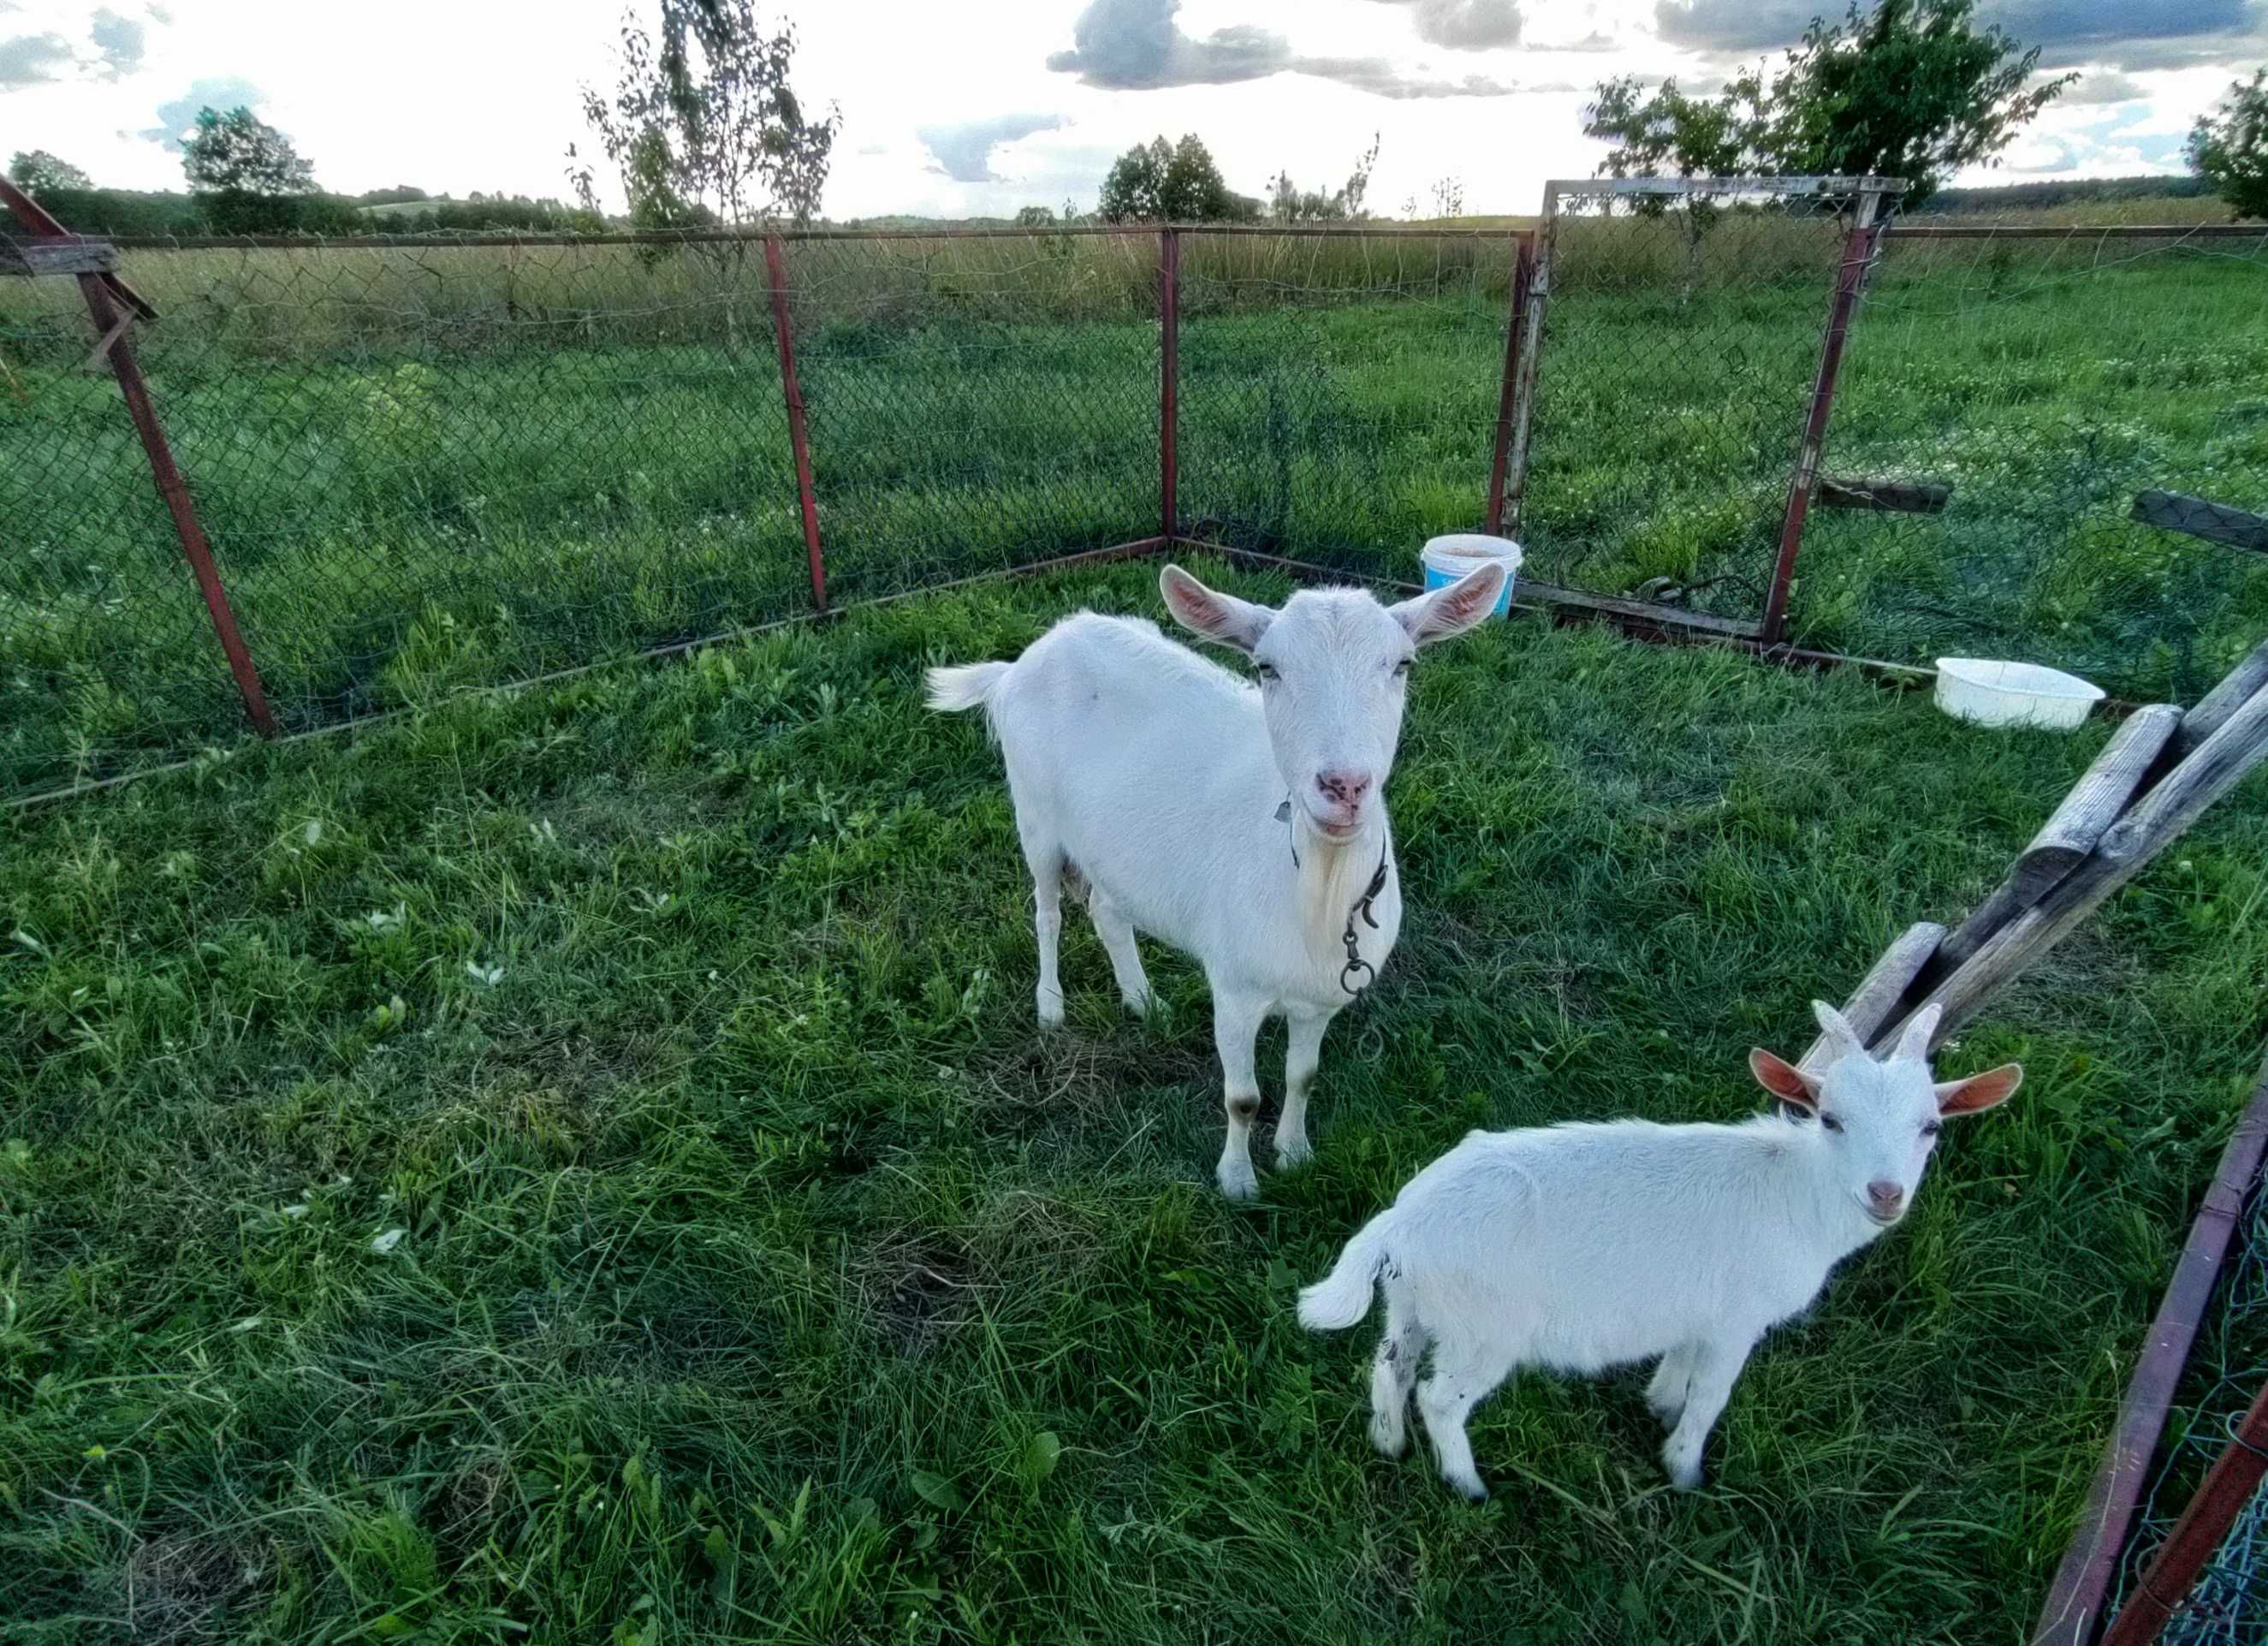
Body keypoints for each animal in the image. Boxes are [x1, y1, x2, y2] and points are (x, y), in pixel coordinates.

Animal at [920, 564, 1505, 1197]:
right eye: (1267, 667)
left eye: (1402, 664)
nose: (1344, 785)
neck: (1318, 890)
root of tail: (1025, 659)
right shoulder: (1234, 988)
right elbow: (1243, 1097)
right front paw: (1238, 1180)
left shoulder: (1318, 1001)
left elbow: (1303, 1076)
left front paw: (1294, 1153)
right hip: (1036, 816)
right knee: (1046, 912)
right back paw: (1051, 1006)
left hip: (1115, 847)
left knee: (1107, 910)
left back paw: (1143, 1000)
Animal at [1297, 997, 2022, 1505]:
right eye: (1830, 1118)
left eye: (1931, 1126)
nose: (1885, 1192)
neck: (1795, 1188)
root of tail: (1400, 1221)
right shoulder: (1737, 1319)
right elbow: (1712, 1393)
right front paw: (1685, 1468)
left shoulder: (1697, 1308)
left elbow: (1680, 1360)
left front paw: (1659, 1405)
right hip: (1484, 1329)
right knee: (1441, 1398)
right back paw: (1468, 1486)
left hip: (1413, 1301)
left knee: (1389, 1363)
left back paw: (1388, 1444)